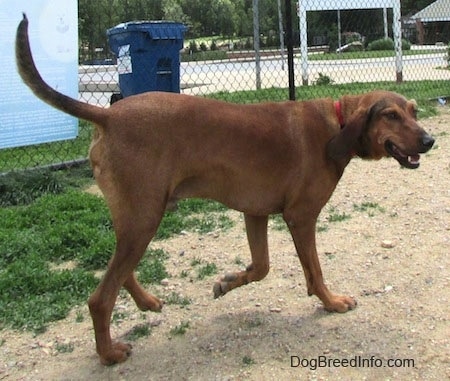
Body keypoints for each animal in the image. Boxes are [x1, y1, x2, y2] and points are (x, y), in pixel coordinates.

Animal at [15, 14, 434, 364]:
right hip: (144, 218)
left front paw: (229, 282)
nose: (429, 140)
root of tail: (108, 113)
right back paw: (109, 353)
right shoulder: (300, 218)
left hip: (135, 216)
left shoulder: (256, 213)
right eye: (391, 115)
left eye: (413, 111)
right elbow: (314, 271)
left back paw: (146, 300)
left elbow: (261, 267)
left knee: (118, 269)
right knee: (99, 297)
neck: (338, 123)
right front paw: (331, 302)